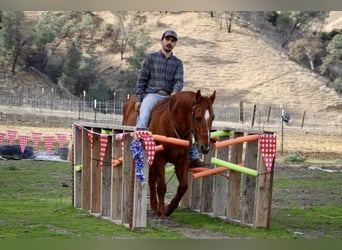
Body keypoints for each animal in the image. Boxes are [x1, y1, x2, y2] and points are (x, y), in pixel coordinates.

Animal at [121, 90, 215, 219]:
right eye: (198, 118)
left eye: (213, 118)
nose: (205, 147)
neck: (172, 125)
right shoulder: (160, 160)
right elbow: (161, 186)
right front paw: (162, 212)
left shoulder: (182, 161)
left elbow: (183, 186)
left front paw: (169, 208)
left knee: (152, 180)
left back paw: (154, 206)